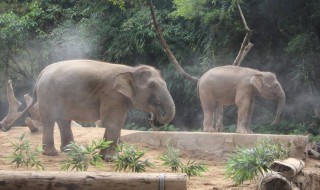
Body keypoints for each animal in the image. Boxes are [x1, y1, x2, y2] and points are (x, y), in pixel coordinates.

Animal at [3, 59, 175, 160]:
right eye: (152, 86)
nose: (153, 116)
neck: (130, 70)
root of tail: (41, 73)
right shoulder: (112, 95)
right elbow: (114, 122)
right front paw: (112, 159)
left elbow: (113, 122)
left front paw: (103, 156)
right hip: (48, 95)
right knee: (50, 121)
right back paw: (52, 153)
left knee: (63, 121)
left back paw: (70, 150)